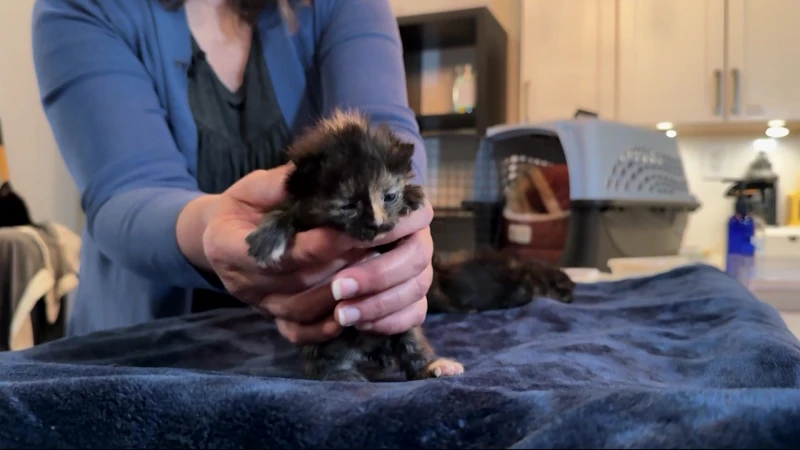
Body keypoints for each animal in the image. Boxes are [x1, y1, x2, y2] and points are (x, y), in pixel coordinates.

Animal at [247, 109, 466, 380]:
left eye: (389, 196)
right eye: (348, 206)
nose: (377, 223)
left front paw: (412, 195)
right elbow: (284, 212)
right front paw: (269, 236)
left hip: (402, 326)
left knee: (411, 344)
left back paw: (433, 366)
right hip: (323, 342)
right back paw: (341, 375)